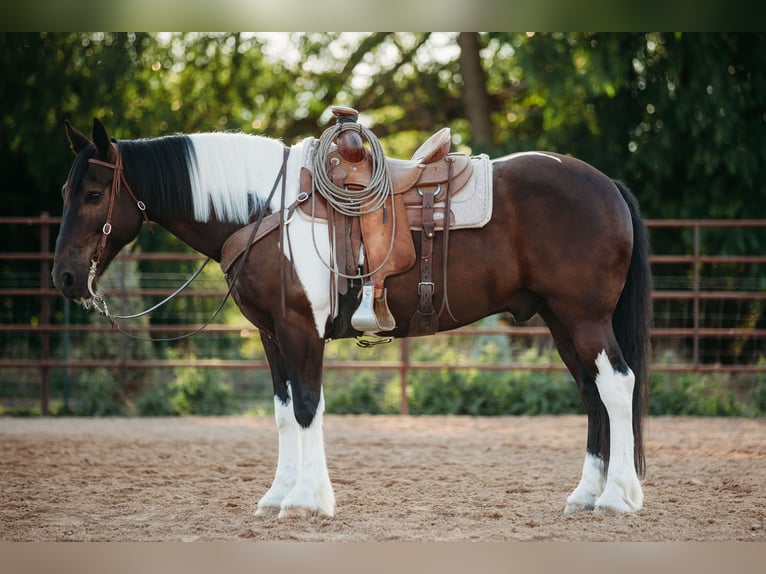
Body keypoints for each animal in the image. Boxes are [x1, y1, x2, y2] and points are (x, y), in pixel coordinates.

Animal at [54, 118, 656, 520]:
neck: (266, 209)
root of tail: (607, 185)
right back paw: (587, 495)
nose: (64, 277)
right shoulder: (271, 335)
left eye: (93, 193)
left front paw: (306, 501)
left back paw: (618, 499)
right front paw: (278, 495)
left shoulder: (301, 330)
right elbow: (282, 414)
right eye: (66, 191)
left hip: (584, 318)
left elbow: (307, 407)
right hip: (561, 322)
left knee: (617, 385)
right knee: (592, 394)